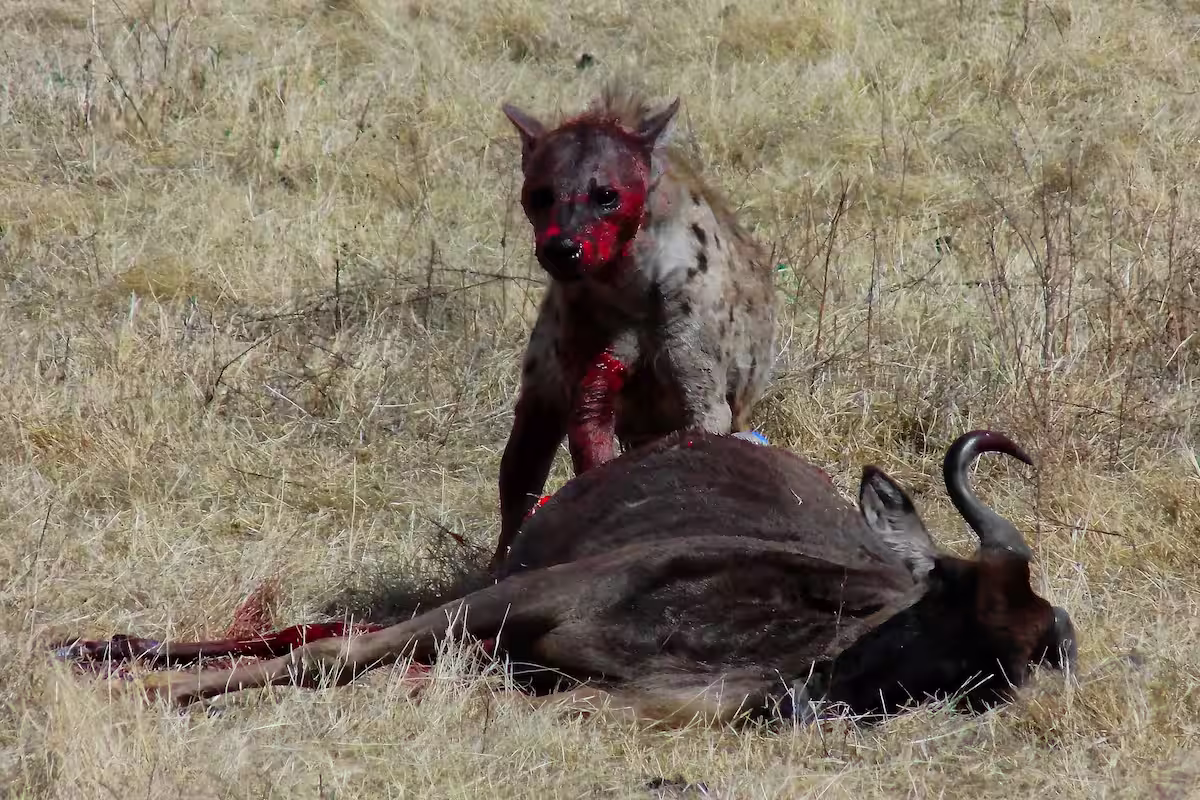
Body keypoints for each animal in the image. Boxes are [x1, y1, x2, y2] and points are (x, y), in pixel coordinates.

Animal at [57, 429, 1076, 726]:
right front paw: (149, 691)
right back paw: (101, 647)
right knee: (313, 634)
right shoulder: (523, 597)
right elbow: (330, 654)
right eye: (943, 586)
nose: (821, 702)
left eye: (1002, 672)